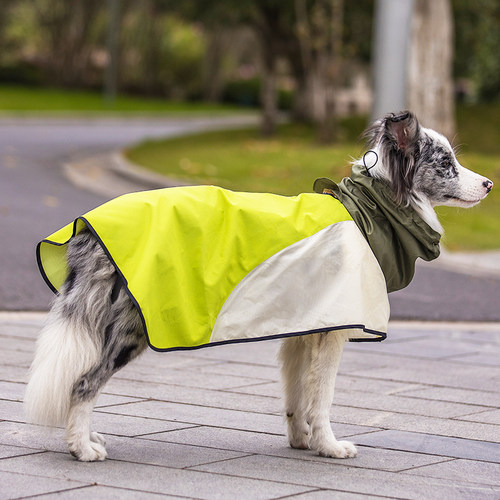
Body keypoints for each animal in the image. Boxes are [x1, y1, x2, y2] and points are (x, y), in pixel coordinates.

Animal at [24, 112, 492, 460]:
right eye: (446, 163)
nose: (490, 184)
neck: (368, 213)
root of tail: (88, 228)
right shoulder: (334, 332)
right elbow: (322, 397)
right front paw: (329, 446)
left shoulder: (305, 328)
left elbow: (297, 395)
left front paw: (302, 441)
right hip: (131, 328)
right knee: (83, 383)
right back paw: (81, 448)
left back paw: (88, 438)